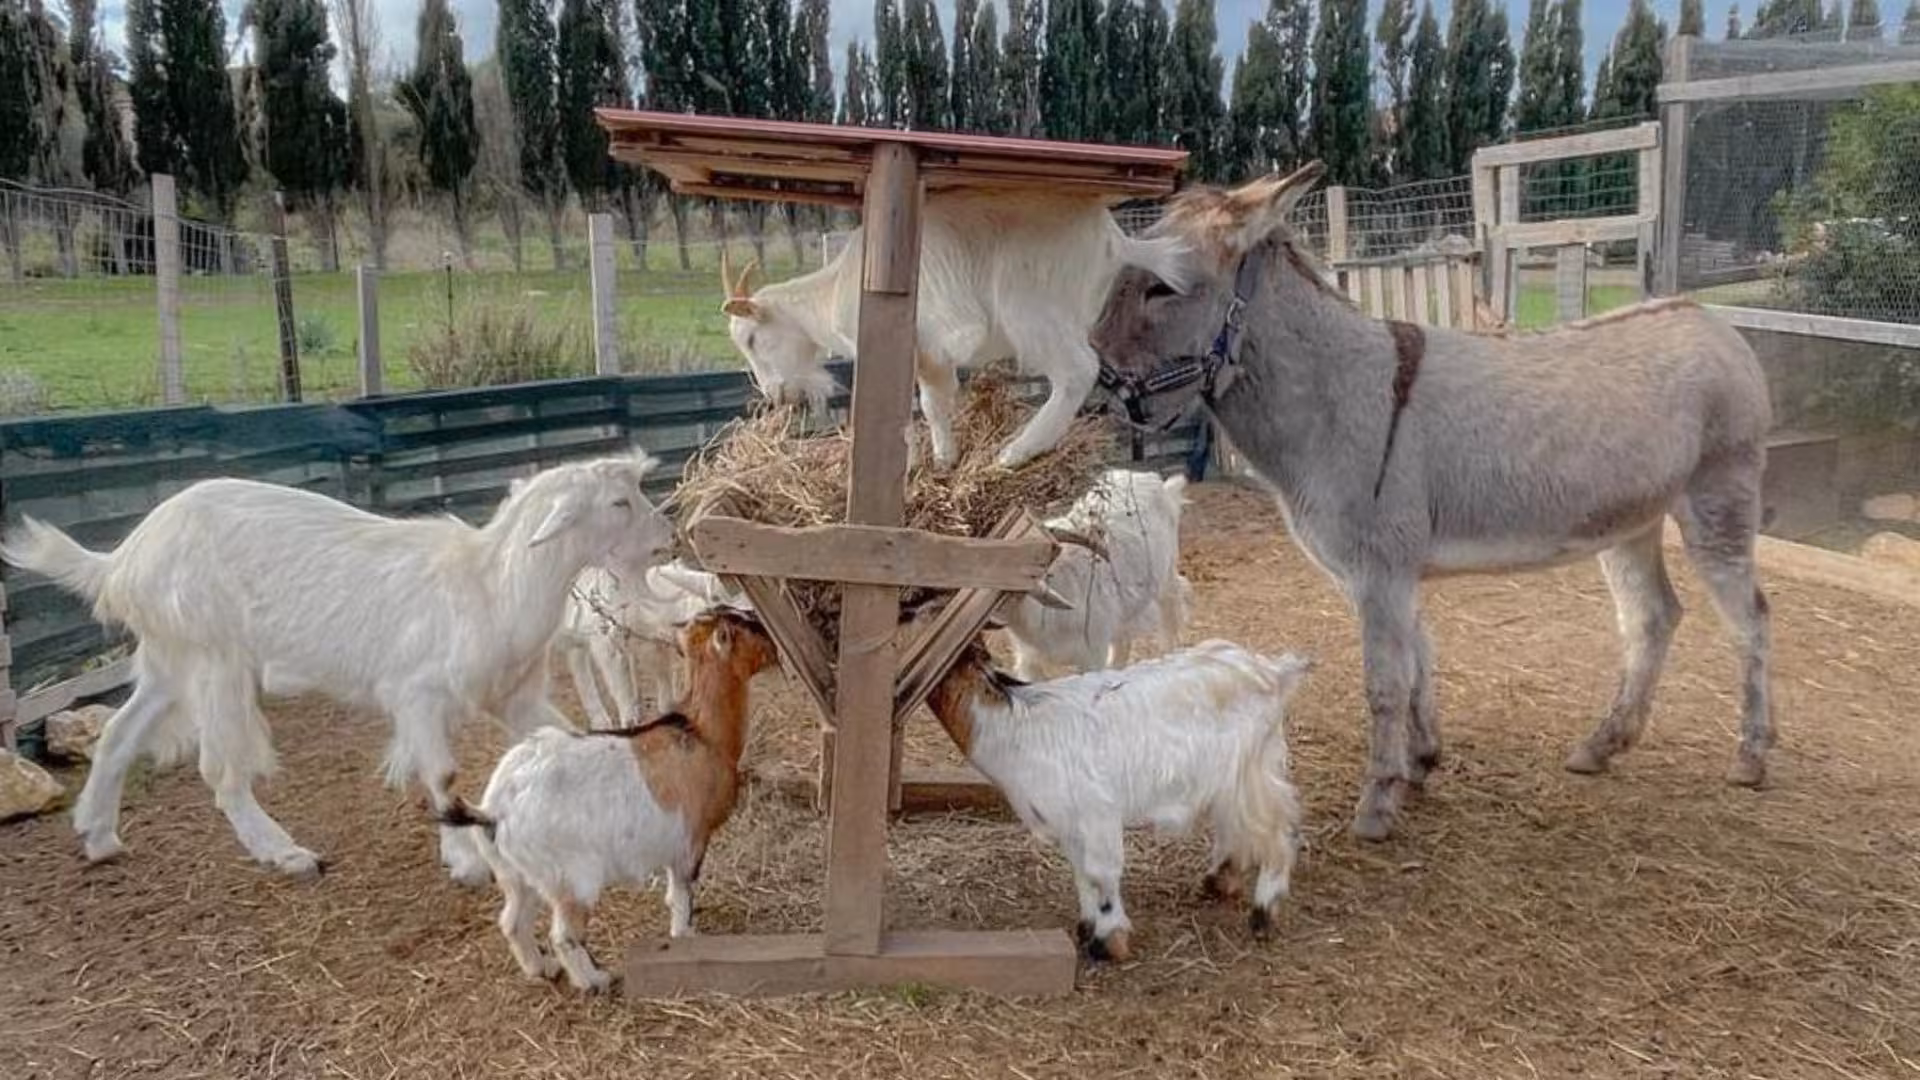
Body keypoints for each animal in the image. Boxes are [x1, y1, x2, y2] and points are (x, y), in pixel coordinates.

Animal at [0, 453, 675, 882]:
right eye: (620, 500)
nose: (665, 537)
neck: (486, 586)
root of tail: (124, 559)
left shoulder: (514, 694)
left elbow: (568, 738)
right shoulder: (416, 695)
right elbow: (443, 773)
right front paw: (464, 861)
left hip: (172, 657)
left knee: (117, 735)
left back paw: (99, 837)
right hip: (215, 655)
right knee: (220, 767)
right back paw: (286, 854)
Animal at [442, 607, 778, 993]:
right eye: (750, 626)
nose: (774, 646)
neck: (701, 733)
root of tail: (493, 811)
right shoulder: (691, 841)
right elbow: (683, 894)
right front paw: (686, 935)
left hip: (516, 874)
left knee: (512, 921)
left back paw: (542, 968)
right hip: (572, 877)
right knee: (563, 936)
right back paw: (594, 980)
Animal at [556, 561, 750, 729]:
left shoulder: (656, 644)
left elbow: (664, 687)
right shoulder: (606, 641)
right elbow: (623, 695)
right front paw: (630, 723)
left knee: (577, 658)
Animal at [718, 194, 1191, 470]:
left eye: (751, 339)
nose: (775, 395)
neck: (839, 286)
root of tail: (1116, 242)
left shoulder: (924, 344)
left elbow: (923, 404)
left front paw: (923, 459)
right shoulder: (934, 356)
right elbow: (939, 400)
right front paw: (945, 457)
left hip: (1031, 308)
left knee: (1078, 371)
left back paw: (1015, 453)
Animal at [924, 635, 1312, 962]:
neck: (1013, 725)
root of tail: (1273, 671)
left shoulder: (1097, 812)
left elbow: (1101, 874)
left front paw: (1108, 941)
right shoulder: (1070, 822)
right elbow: (1080, 872)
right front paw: (1087, 929)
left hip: (1251, 771)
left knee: (1278, 832)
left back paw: (1263, 913)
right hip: (1233, 778)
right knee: (1237, 825)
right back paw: (1220, 879)